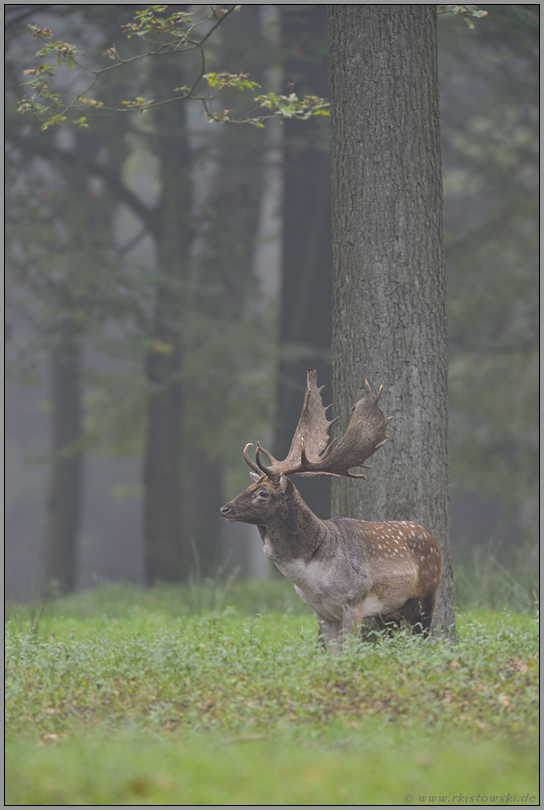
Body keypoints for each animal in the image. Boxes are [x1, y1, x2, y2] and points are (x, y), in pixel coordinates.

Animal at [220, 368, 442, 652]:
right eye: (249, 485)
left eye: (263, 493)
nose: (224, 508)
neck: (312, 579)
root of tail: (430, 536)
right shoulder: (321, 613)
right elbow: (332, 654)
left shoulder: (353, 601)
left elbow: (350, 650)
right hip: (388, 612)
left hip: (427, 593)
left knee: (424, 637)